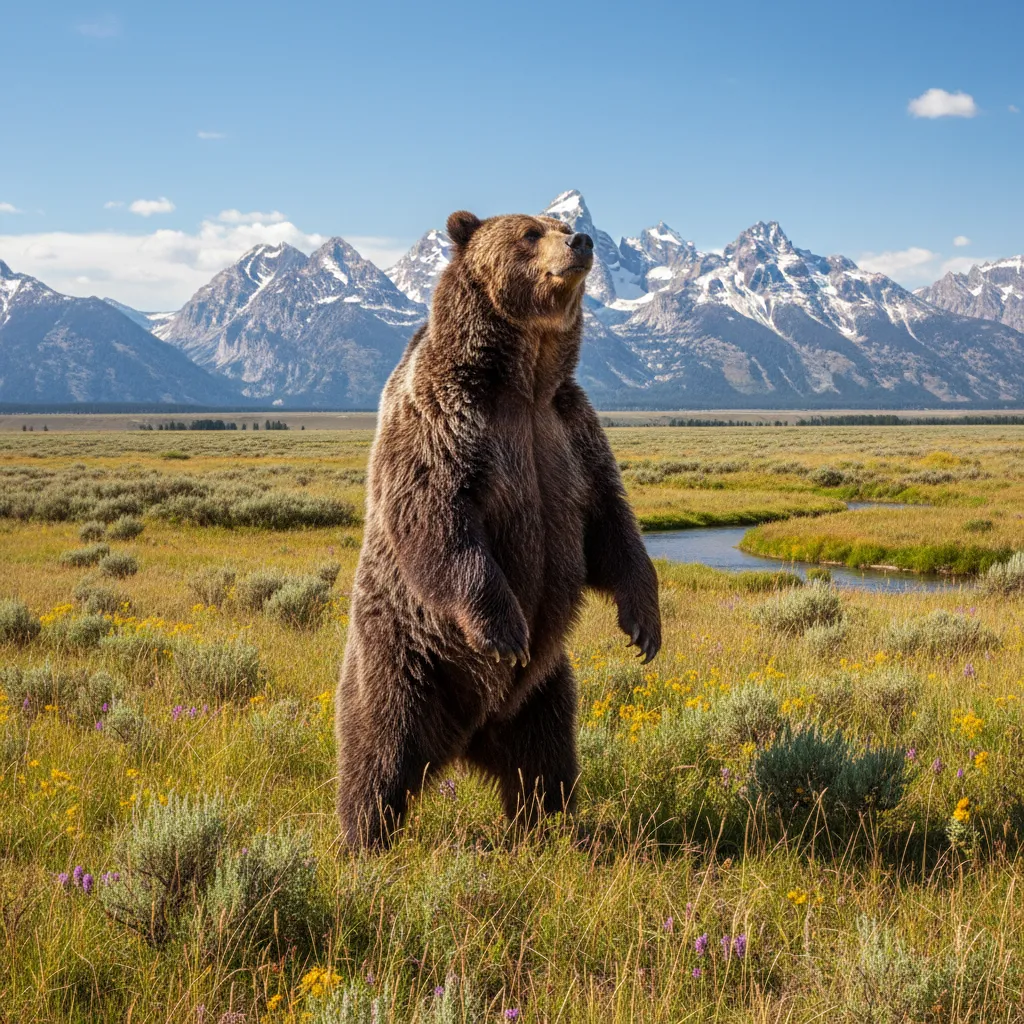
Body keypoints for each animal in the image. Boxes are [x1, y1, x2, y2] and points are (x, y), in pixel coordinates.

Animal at [335, 208, 662, 847]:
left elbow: (611, 525)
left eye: (562, 221)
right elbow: (439, 514)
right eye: (531, 232)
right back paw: (363, 838)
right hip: (407, 657)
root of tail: (466, 736)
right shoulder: (446, 419)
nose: (581, 239)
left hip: (543, 689)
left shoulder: (570, 433)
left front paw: (644, 627)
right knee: (379, 748)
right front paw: (505, 630)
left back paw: (548, 827)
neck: (524, 379)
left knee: (545, 759)